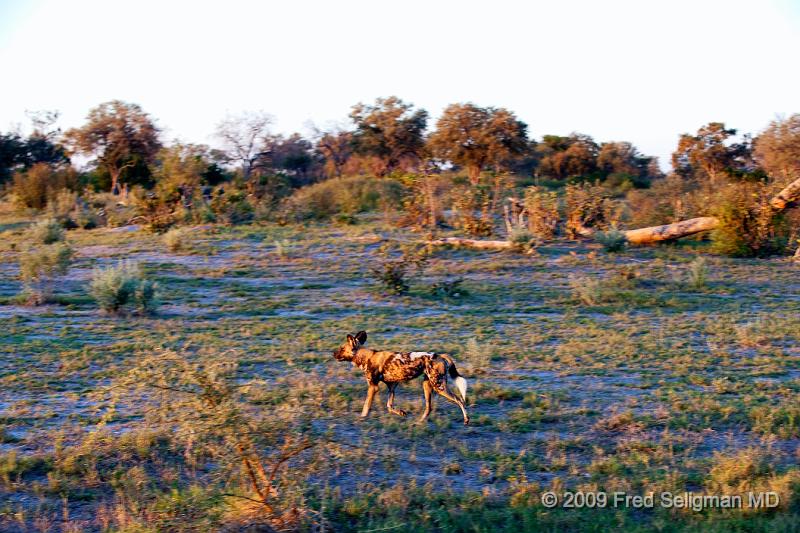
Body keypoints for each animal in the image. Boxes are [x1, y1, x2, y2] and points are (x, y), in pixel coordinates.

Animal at [332, 328, 468, 424]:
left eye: (342, 349)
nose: (333, 353)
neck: (365, 356)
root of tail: (440, 355)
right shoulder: (392, 386)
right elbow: (389, 406)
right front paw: (401, 412)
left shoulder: (373, 387)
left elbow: (366, 406)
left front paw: (362, 418)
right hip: (427, 386)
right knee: (429, 408)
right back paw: (419, 422)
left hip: (439, 387)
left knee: (459, 400)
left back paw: (466, 420)